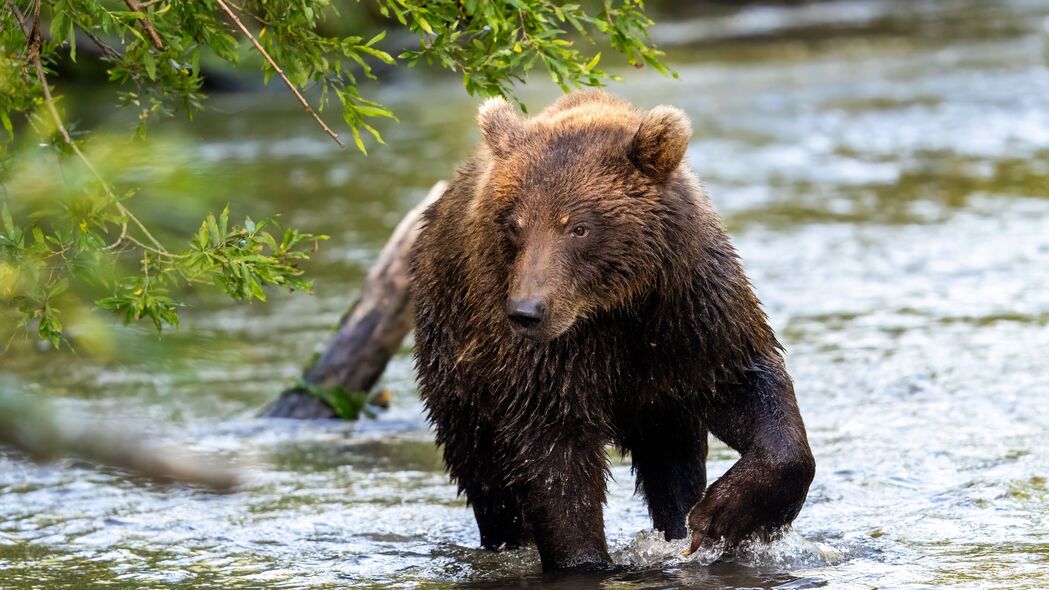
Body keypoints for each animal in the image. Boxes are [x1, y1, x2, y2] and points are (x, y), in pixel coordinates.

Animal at [404, 91, 814, 571]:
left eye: (578, 227)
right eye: (514, 226)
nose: (527, 312)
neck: (616, 307)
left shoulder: (690, 311)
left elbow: (748, 386)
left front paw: (725, 515)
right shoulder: (548, 357)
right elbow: (555, 457)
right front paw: (583, 558)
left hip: (661, 401)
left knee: (672, 457)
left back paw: (677, 521)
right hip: (458, 358)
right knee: (485, 472)